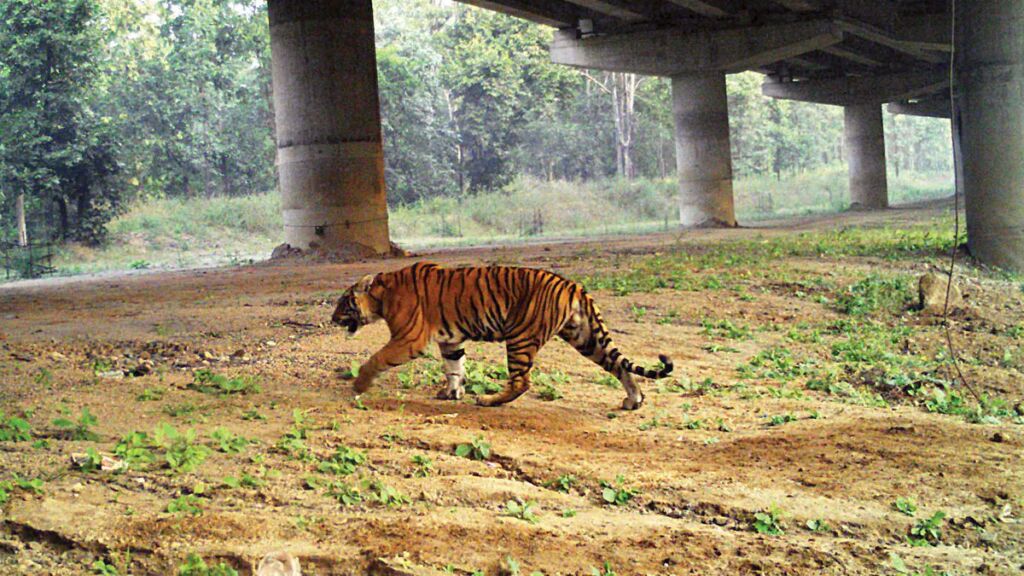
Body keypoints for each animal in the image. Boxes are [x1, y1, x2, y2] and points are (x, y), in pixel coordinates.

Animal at [331, 260, 675, 407]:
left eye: (342, 303)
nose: (332, 318)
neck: (382, 293)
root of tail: (573, 284)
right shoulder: (451, 339)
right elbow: (454, 367)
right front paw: (451, 393)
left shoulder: (408, 339)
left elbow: (376, 358)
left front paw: (359, 384)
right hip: (585, 337)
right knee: (619, 366)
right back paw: (633, 400)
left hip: (520, 337)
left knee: (522, 381)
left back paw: (489, 400)